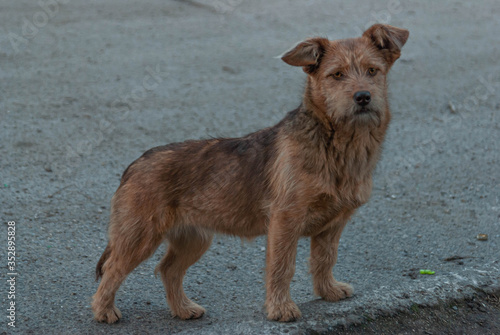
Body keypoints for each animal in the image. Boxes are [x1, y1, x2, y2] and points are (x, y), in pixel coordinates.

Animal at [92, 23, 408, 322]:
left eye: (372, 70)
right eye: (337, 75)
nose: (363, 97)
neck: (338, 146)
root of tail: (135, 165)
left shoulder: (332, 226)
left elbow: (324, 260)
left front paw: (328, 291)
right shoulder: (285, 220)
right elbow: (282, 267)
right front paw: (281, 309)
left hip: (193, 239)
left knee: (168, 269)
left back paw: (183, 309)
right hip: (139, 237)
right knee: (113, 269)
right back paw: (104, 311)